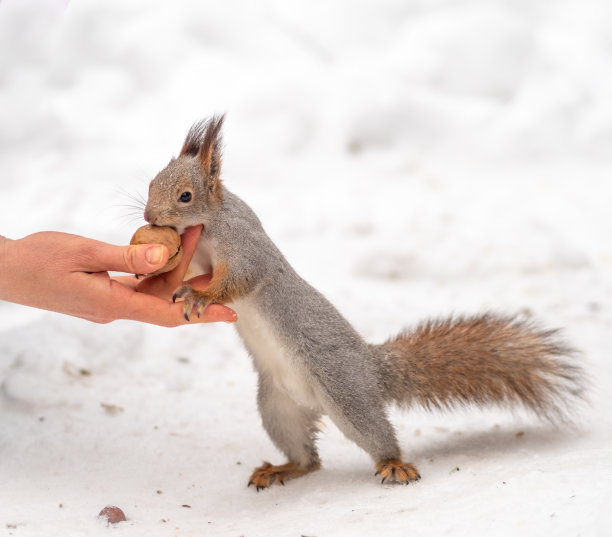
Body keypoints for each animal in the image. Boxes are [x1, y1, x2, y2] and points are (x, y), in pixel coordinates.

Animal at [141, 114, 584, 490]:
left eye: (185, 196)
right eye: (150, 184)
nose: (148, 216)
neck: (209, 225)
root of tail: (373, 369)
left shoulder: (245, 248)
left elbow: (240, 279)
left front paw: (200, 294)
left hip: (345, 391)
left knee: (373, 432)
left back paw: (395, 464)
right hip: (277, 408)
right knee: (310, 460)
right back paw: (283, 469)